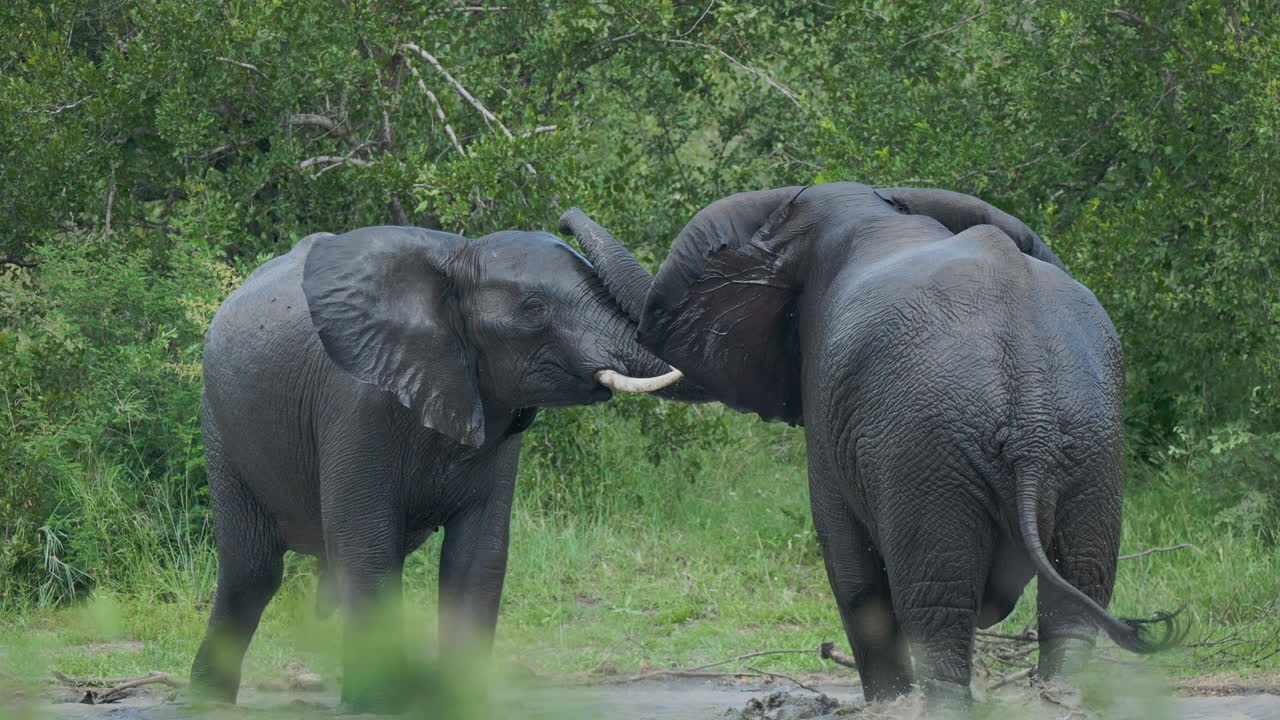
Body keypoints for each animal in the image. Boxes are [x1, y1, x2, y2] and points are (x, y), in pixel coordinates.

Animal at [190, 225, 700, 711]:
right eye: (534, 308)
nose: (565, 217)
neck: (456, 264)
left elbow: (476, 555)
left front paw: (458, 701)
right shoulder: (354, 404)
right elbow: (366, 548)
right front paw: (376, 706)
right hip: (220, 427)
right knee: (252, 571)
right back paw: (207, 700)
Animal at [559, 184, 1182, 709]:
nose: (562, 218)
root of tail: (1028, 407)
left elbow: (846, 558)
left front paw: (886, 704)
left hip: (929, 450)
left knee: (936, 604)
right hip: (1090, 437)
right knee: (1078, 594)